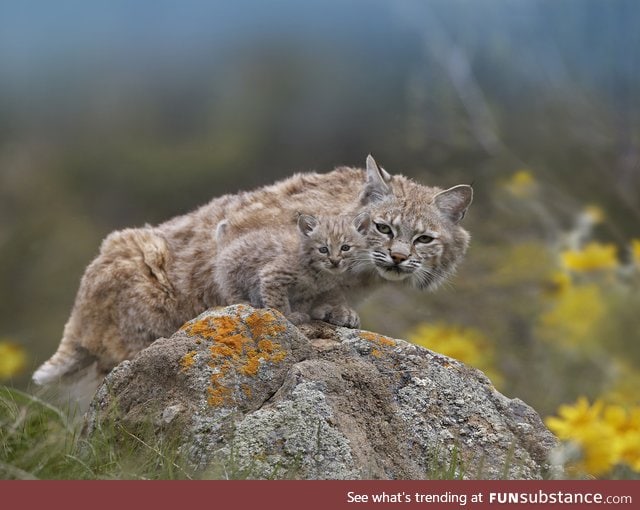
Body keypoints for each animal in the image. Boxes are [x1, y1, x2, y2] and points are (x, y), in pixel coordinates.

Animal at [215, 212, 370, 326]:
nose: (335, 261)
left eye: (345, 248)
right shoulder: (272, 275)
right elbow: (278, 302)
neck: (319, 271)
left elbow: (301, 304)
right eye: (323, 249)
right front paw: (287, 317)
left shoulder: (307, 291)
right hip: (234, 273)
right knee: (231, 293)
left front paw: (299, 314)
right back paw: (245, 303)